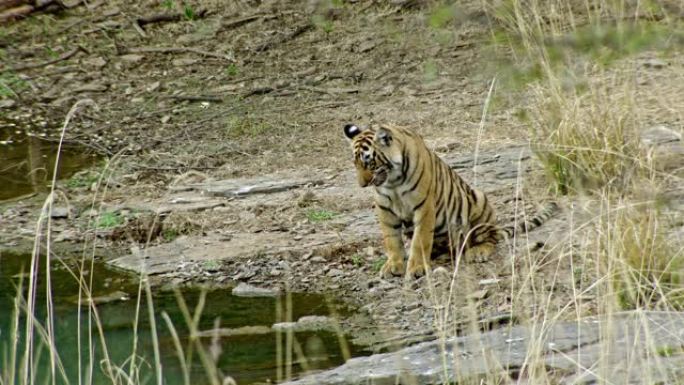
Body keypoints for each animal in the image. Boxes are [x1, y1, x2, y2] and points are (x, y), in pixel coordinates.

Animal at [344, 121, 560, 278]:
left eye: (369, 163)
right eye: (355, 164)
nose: (361, 185)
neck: (393, 181)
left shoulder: (424, 207)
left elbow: (420, 240)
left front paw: (416, 268)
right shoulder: (385, 209)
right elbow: (392, 240)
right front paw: (394, 265)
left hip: (479, 201)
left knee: (489, 239)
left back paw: (477, 252)